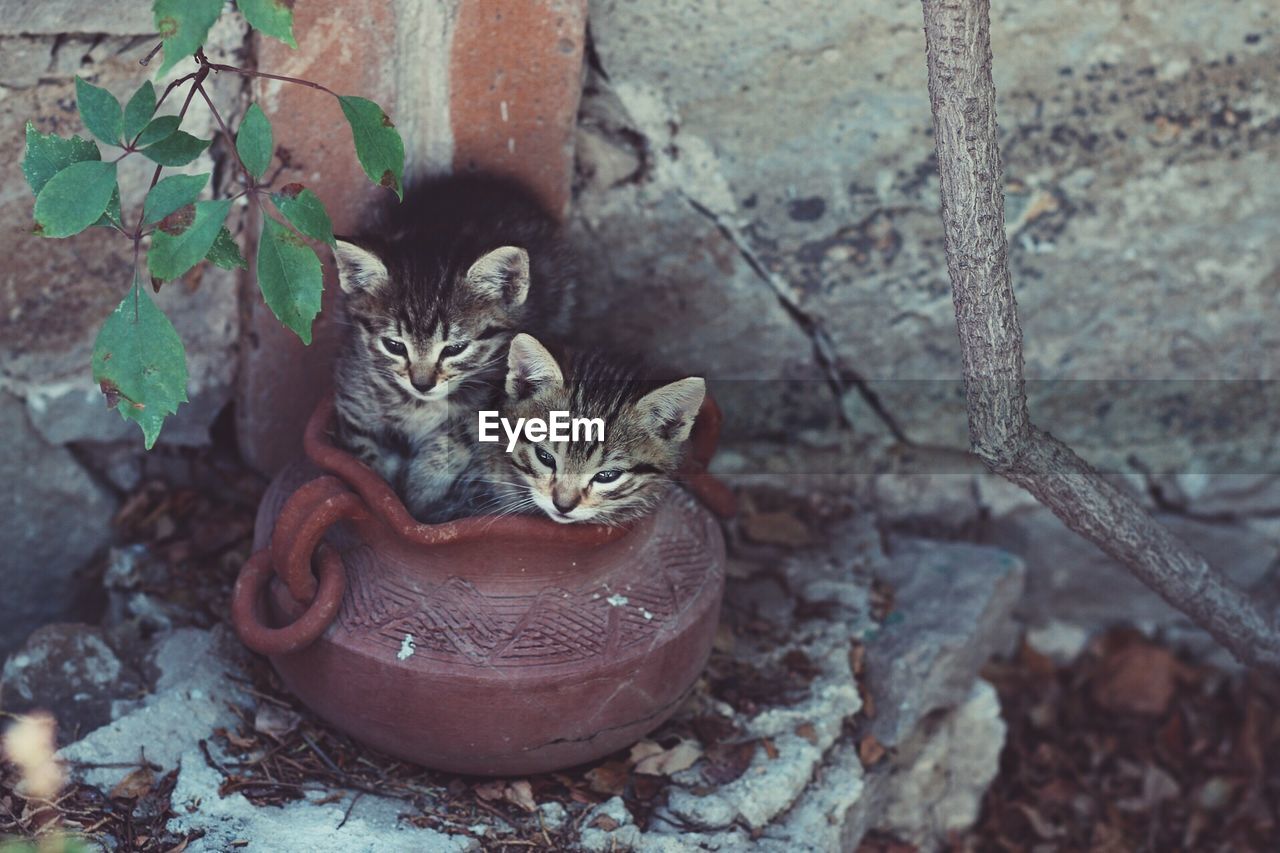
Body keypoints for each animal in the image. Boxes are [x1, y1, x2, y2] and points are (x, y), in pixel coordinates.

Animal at [332, 175, 573, 514]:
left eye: (454, 349)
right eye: (394, 346)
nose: (422, 384)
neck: (419, 405)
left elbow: (456, 439)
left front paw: (420, 489)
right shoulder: (355, 396)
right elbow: (367, 465)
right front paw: (389, 496)